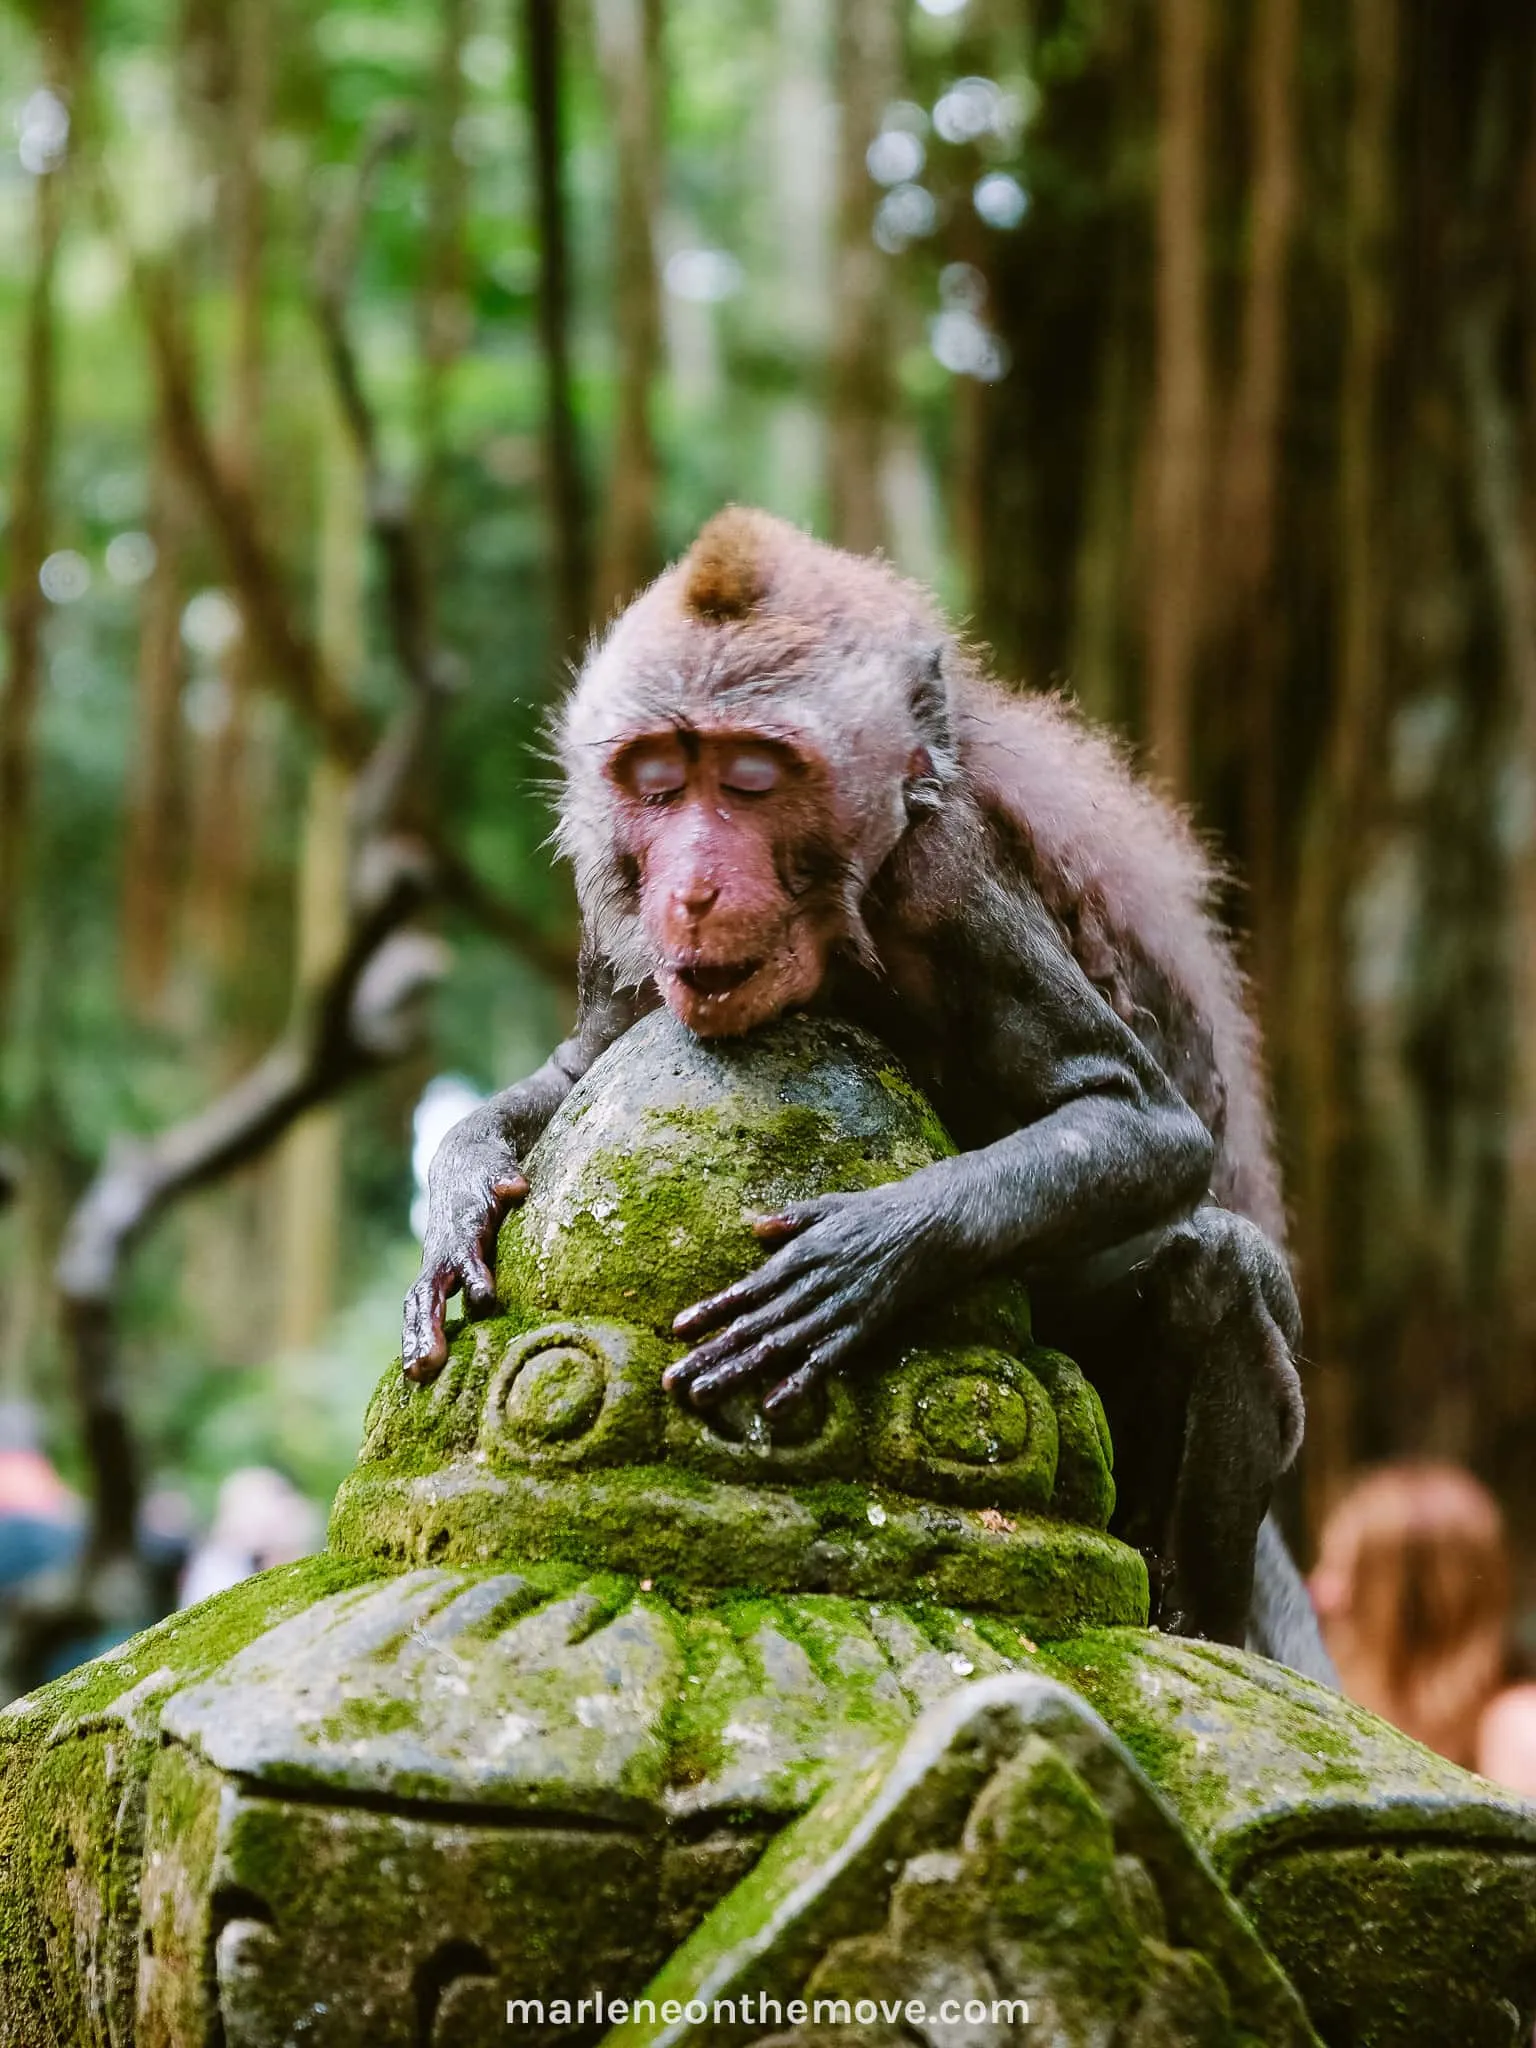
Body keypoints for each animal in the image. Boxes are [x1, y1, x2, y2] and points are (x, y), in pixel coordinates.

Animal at [403, 506, 1332, 1676]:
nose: (692, 889)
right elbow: (581, 1069)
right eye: (658, 777)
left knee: (1221, 1267)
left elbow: (1143, 1120)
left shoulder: (948, 880)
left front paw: (864, 1254)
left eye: (752, 778)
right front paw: (459, 1192)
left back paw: (1196, 1621)